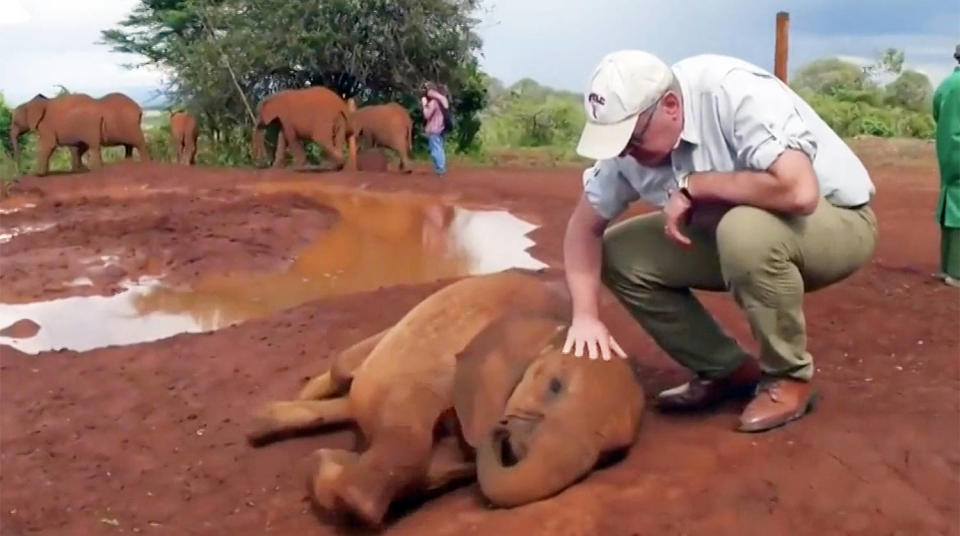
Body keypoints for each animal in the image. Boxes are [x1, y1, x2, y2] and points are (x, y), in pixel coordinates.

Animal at [9, 92, 152, 176]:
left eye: (15, 122)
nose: (19, 174)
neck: (30, 103)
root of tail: (139, 109)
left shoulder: (47, 126)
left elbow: (48, 145)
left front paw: (39, 175)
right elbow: (77, 147)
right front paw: (79, 170)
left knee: (137, 142)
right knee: (124, 145)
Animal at [248, 272, 644, 528]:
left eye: (608, 457)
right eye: (555, 386)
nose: (503, 428)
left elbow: (430, 470)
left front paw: (328, 469)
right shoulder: (445, 359)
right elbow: (407, 426)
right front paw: (331, 476)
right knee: (346, 369)